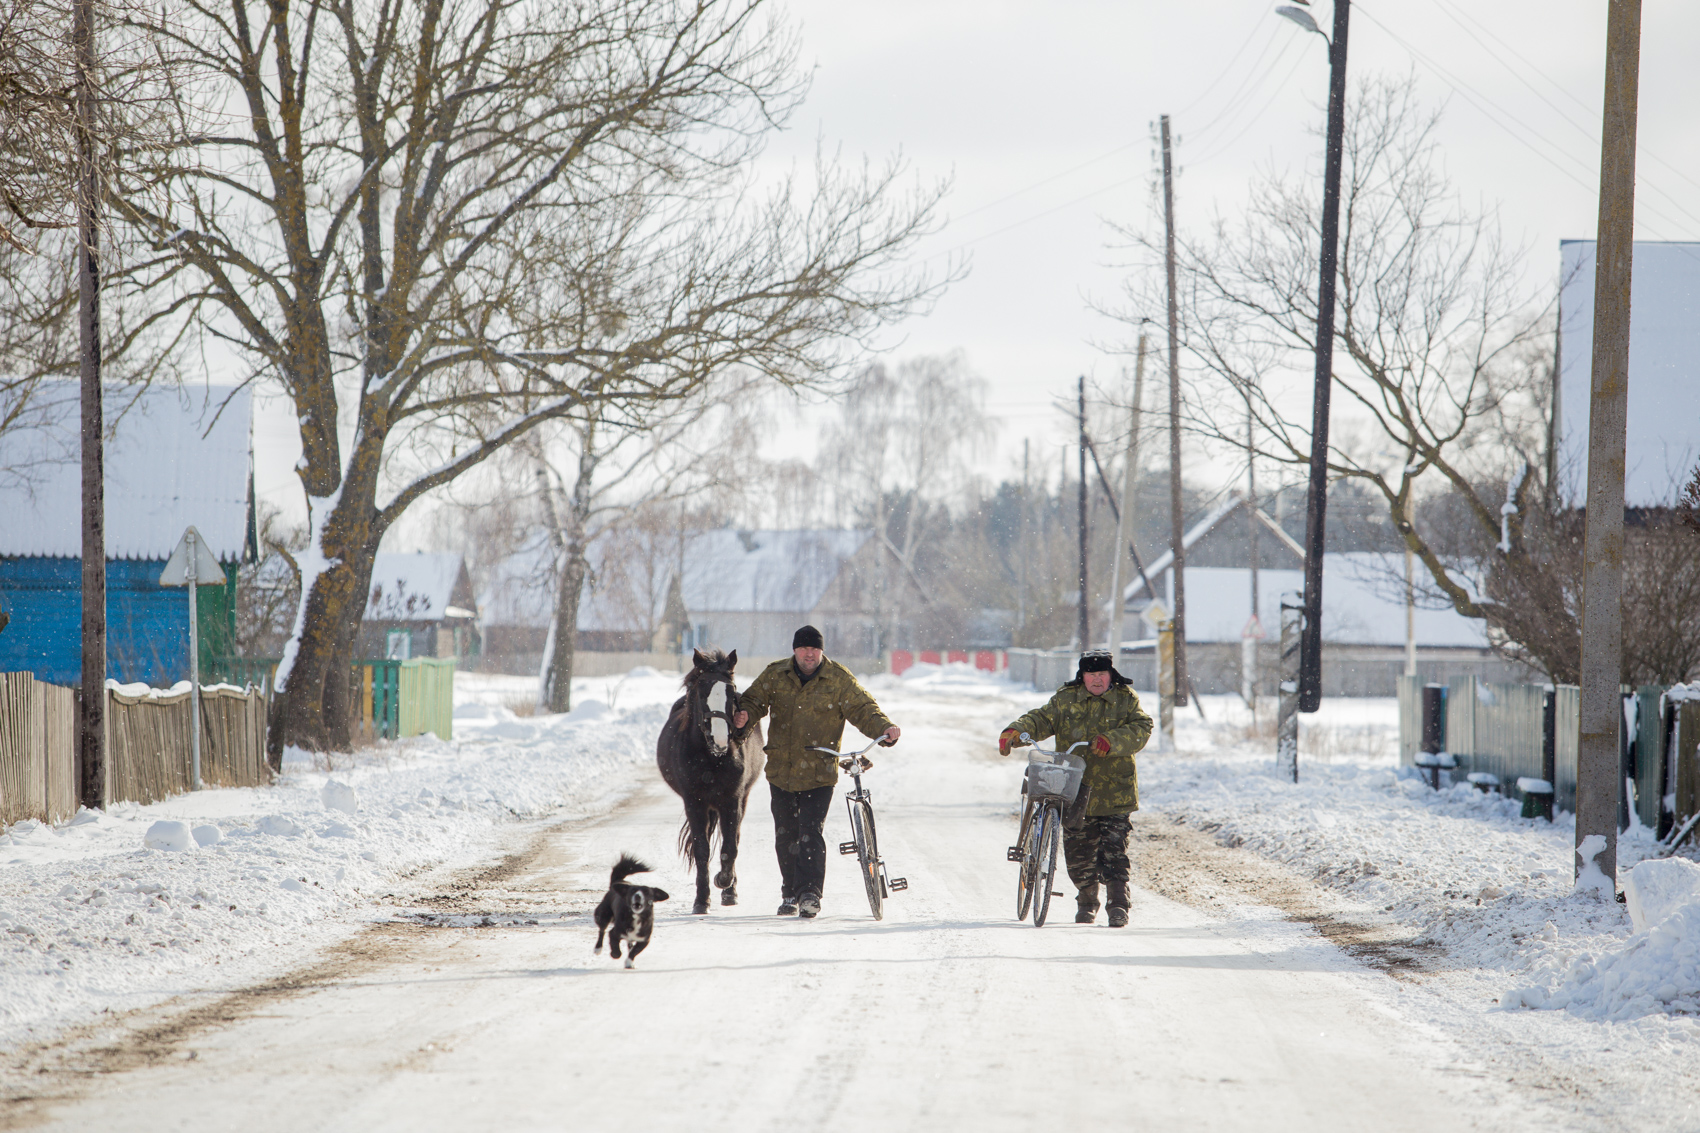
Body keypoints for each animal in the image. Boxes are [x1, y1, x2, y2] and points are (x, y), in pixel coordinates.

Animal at [652, 643, 761, 911]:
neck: (713, 759)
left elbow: (730, 846)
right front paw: (702, 900)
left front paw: (725, 882)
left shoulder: (732, 800)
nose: (720, 740)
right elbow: (701, 849)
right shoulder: (694, 802)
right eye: (702, 693)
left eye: (732, 692)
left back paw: (730, 890)